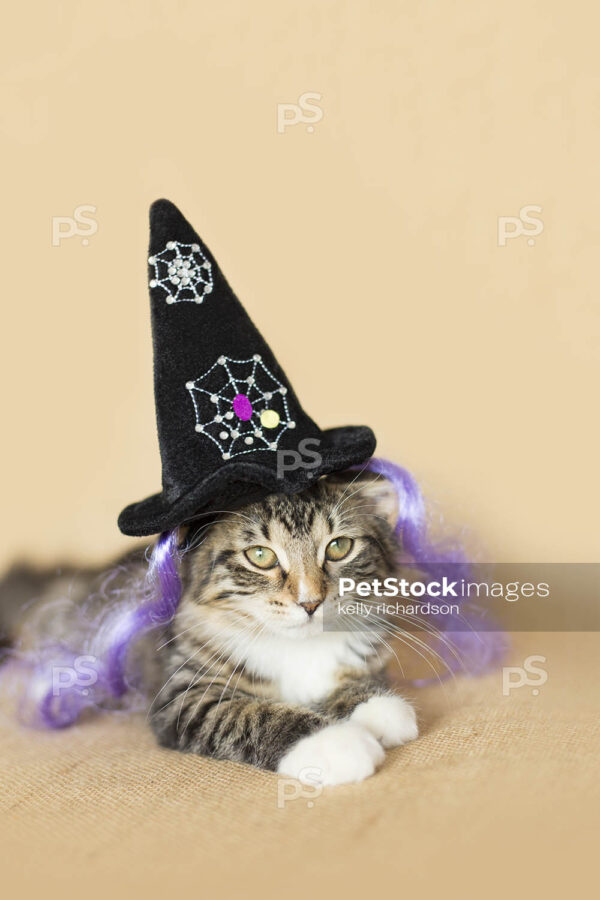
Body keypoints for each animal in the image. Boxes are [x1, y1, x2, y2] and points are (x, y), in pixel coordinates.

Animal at [1, 474, 418, 784]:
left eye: (339, 547)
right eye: (261, 555)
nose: (310, 602)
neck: (295, 647)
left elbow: (356, 680)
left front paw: (377, 707)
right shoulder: (184, 695)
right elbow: (252, 716)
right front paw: (335, 741)